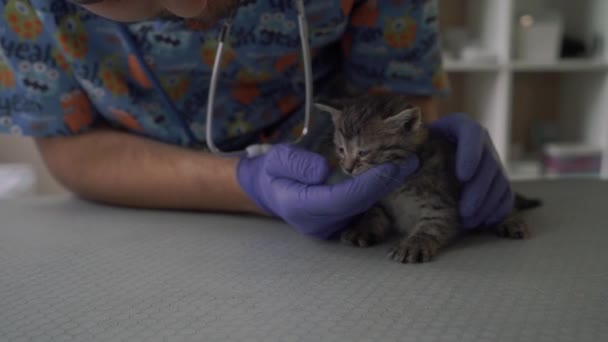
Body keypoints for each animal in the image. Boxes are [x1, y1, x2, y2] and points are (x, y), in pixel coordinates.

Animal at [316, 93, 528, 264]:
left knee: (505, 204)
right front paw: (363, 228)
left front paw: (413, 244)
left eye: (363, 152)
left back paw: (511, 221)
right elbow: (374, 212)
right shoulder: (380, 198)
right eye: (341, 149)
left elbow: (432, 225)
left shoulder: (442, 202)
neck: (397, 186)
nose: (347, 168)